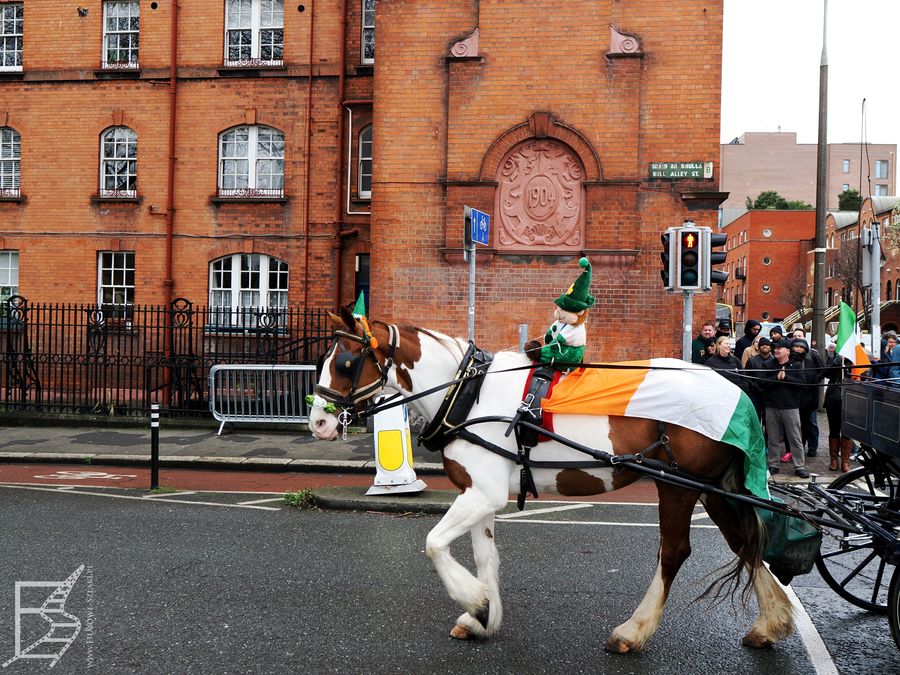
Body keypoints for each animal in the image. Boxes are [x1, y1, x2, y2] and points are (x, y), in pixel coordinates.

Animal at [312, 308, 796, 652]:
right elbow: (486, 557)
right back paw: (771, 623)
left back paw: (633, 631)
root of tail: (735, 390)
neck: (466, 391)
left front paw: (473, 600)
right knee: (744, 544)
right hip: (711, 489)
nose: (318, 422)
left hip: (677, 486)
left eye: (347, 362)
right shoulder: (480, 494)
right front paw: (483, 616)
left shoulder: (482, 493)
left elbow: (433, 543)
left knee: (675, 553)